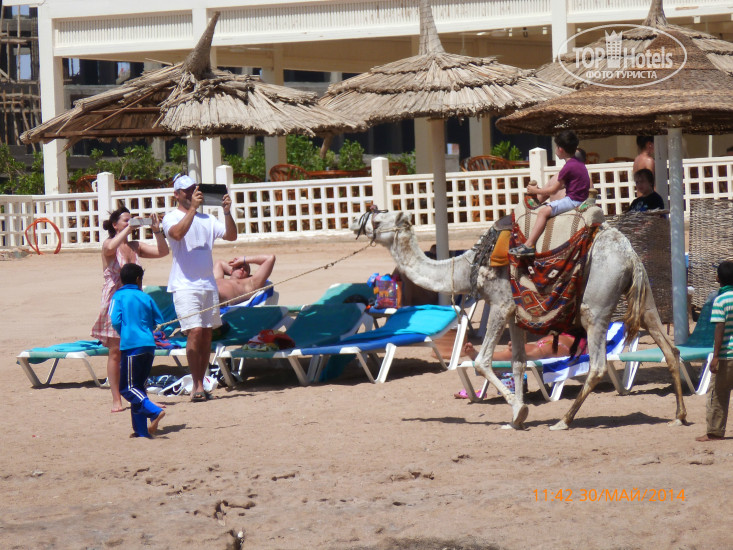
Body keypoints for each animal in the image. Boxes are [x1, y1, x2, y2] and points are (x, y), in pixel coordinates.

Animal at [352, 210, 687, 430]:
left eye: (378, 218)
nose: (356, 219)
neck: (467, 265)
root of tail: (629, 254)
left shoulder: (500, 305)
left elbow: (482, 361)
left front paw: (520, 410)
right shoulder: (516, 315)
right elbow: (517, 363)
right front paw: (515, 420)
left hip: (596, 302)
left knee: (597, 364)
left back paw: (564, 421)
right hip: (644, 297)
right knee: (669, 347)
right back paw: (680, 415)